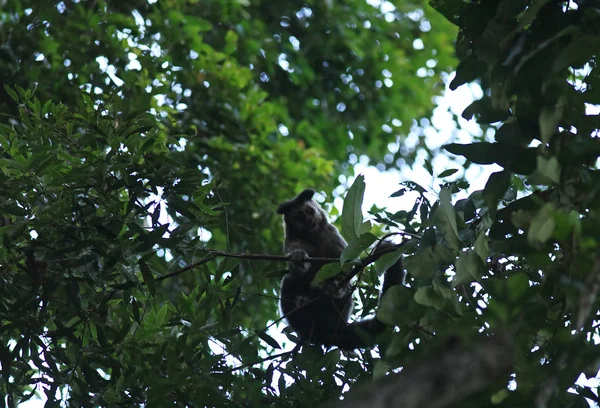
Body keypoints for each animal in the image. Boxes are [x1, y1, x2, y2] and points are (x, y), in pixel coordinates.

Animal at [276, 189, 404, 350]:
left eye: (309, 211)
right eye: (299, 216)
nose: (309, 219)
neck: (313, 234)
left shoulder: (331, 233)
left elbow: (343, 263)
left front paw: (333, 285)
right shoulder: (292, 239)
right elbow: (296, 266)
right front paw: (297, 257)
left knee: (346, 290)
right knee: (288, 280)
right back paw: (302, 317)